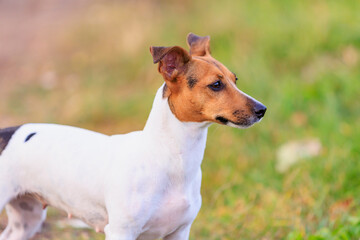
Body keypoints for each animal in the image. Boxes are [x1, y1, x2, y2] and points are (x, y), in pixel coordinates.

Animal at [0, 33, 264, 240]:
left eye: (235, 80)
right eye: (216, 85)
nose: (262, 109)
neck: (171, 157)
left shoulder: (179, 232)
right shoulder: (121, 231)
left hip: (27, 219)